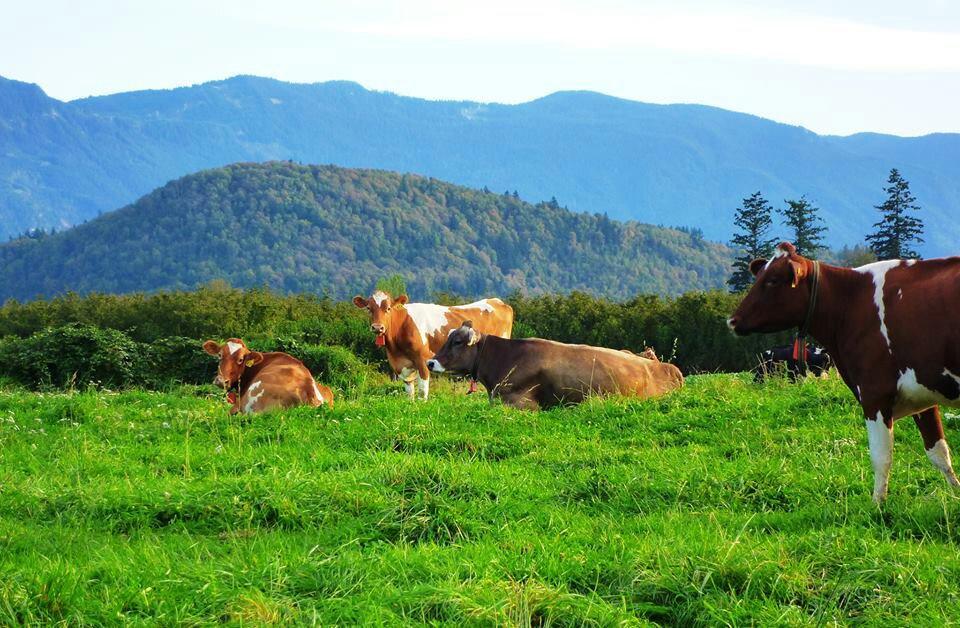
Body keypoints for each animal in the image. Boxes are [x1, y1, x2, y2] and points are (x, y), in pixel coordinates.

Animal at [352, 292, 512, 400]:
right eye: (368, 308)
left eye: (389, 308)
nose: (377, 327)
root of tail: (498, 301)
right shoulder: (402, 365)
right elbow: (409, 391)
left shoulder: (422, 359)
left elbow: (422, 391)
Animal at [728, 243, 960, 502]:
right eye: (759, 276)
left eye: (773, 280)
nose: (733, 320)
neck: (849, 303)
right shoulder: (922, 394)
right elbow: (939, 454)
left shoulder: (874, 394)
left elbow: (881, 457)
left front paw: (877, 505)